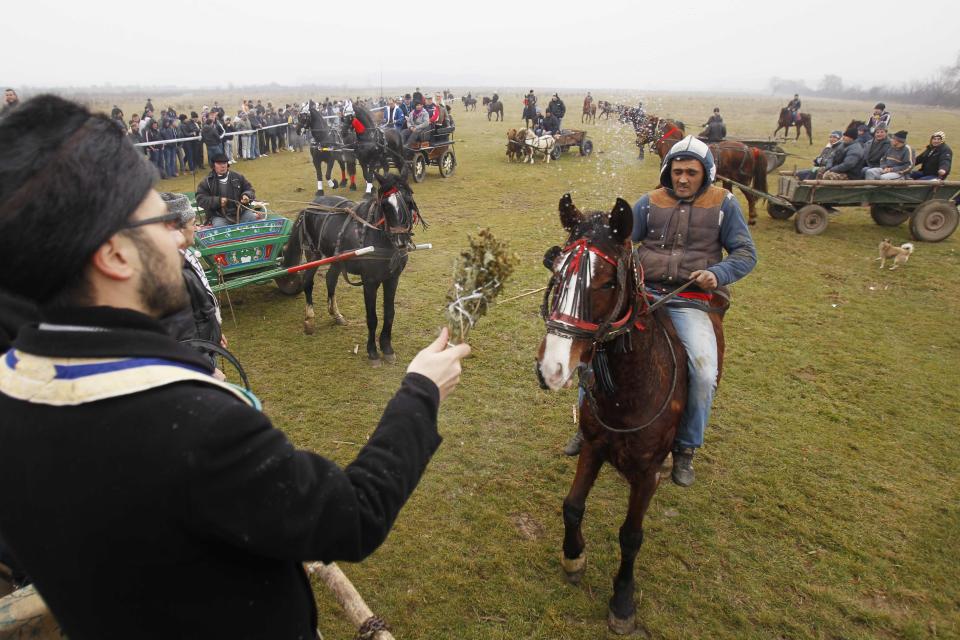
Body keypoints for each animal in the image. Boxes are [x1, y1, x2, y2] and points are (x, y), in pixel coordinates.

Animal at [282, 169, 424, 364]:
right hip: (314, 254)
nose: (401, 241)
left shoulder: (392, 278)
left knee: (330, 280)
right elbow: (372, 317)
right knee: (308, 282)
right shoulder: (370, 282)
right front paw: (372, 352)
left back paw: (336, 314)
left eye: (409, 200)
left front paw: (387, 348)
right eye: (385, 205)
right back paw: (309, 320)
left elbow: (389, 313)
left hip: (336, 258)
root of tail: (310, 206)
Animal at [536, 194, 724, 636]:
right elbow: (572, 505)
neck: (628, 393)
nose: (551, 368)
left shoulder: (646, 473)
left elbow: (631, 536)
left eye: (607, 282)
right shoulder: (594, 446)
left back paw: (683, 461)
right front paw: (574, 558)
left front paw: (622, 601)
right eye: (556, 270)